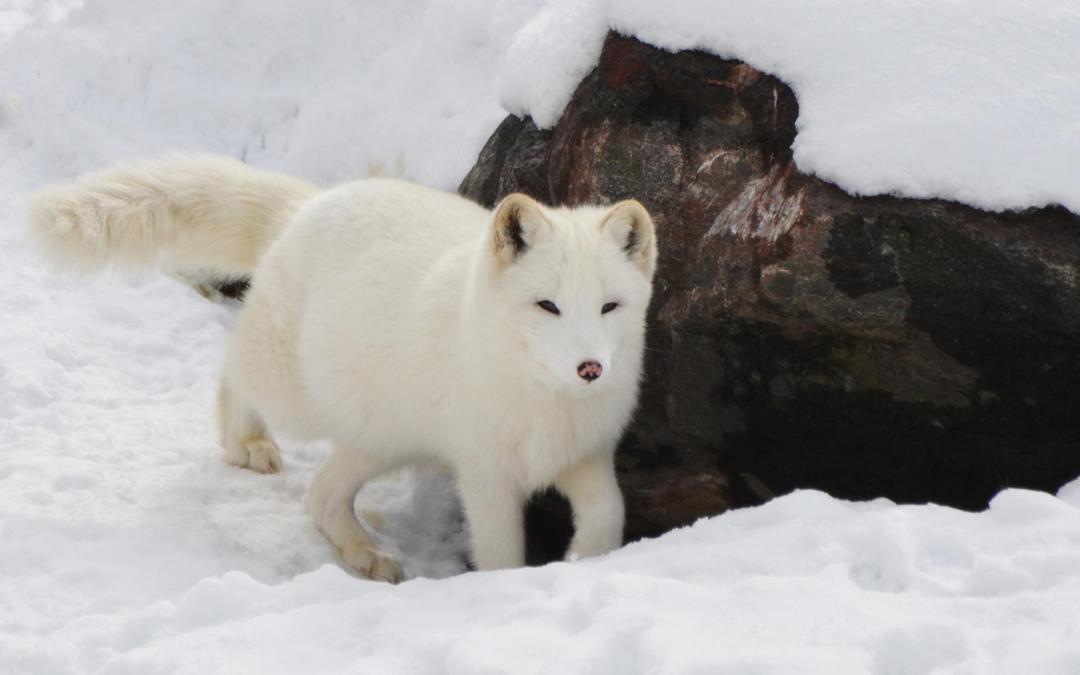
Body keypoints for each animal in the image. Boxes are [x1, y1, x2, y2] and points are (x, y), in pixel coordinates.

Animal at [29, 152, 656, 578]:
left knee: (322, 495)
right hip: (297, 396)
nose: (591, 368)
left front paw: (588, 561)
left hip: (381, 438)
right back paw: (246, 443)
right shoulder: (486, 474)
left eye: (609, 307)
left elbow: (609, 514)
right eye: (548, 305)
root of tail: (306, 207)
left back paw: (365, 554)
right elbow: (500, 554)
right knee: (233, 372)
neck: (544, 403)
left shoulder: (586, 456)